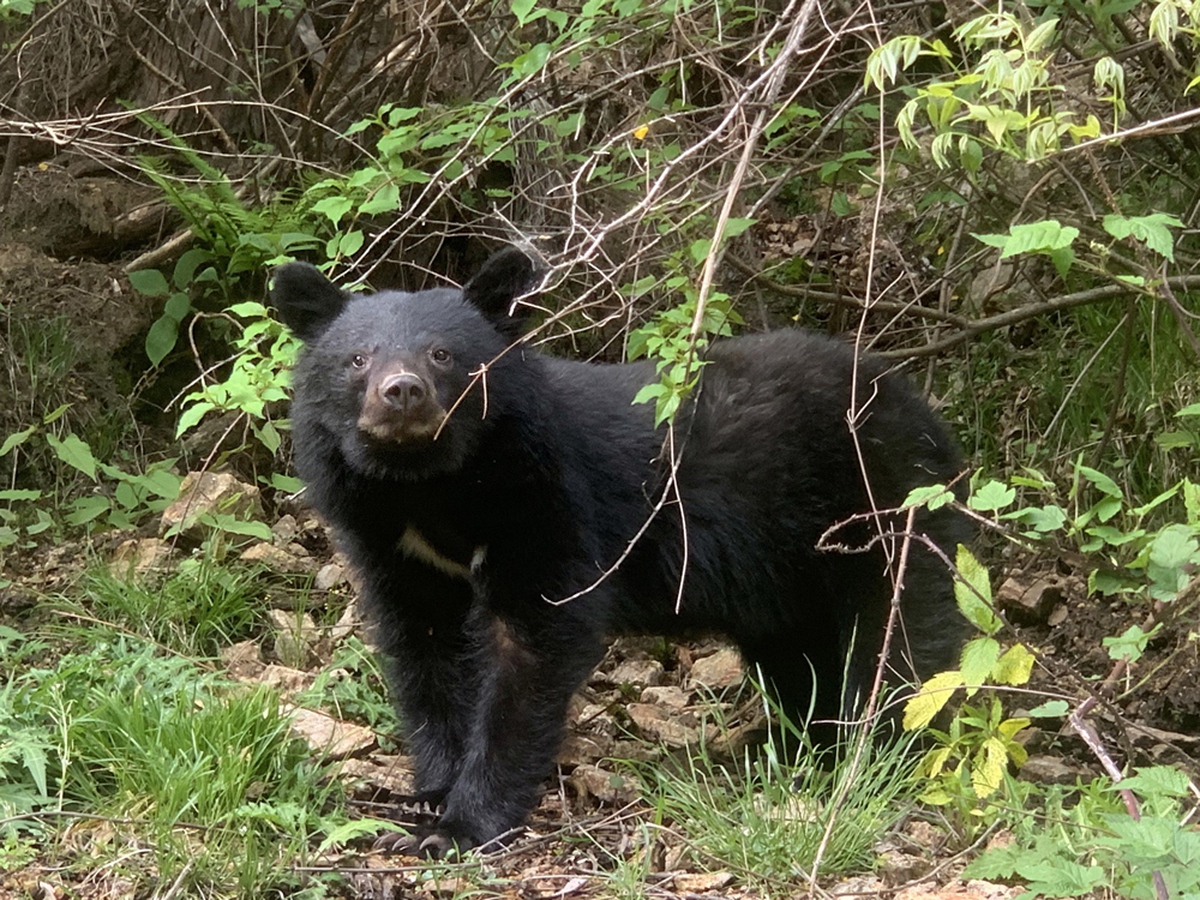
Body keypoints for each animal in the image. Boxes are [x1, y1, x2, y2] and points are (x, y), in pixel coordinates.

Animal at [269, 247, 971, 857]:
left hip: (884, 511)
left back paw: (878, 757)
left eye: (443, 355)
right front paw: (427, 797)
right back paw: (796, 747)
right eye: (356, 359)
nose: (403, 393)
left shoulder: (545, 500)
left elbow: (534, 644)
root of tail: (930, 417)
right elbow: (427, 650)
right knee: (801, 656)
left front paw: (460, 827)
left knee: (900, 641)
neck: (430, 486)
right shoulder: (390, 543)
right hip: (787, 574)